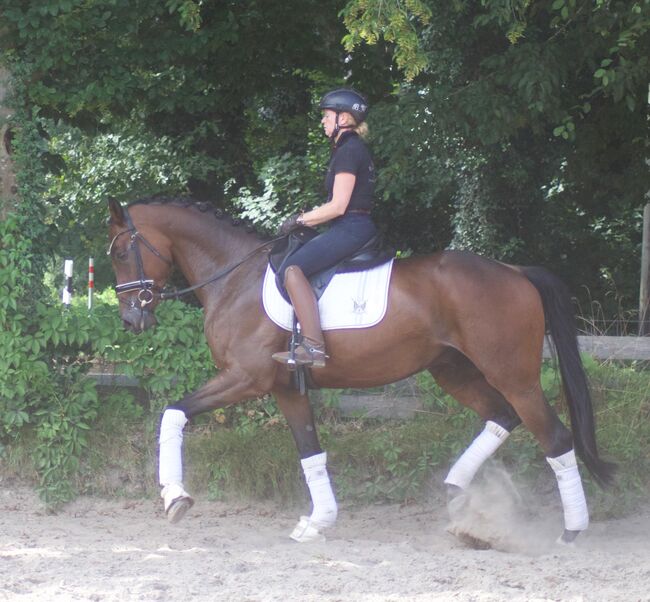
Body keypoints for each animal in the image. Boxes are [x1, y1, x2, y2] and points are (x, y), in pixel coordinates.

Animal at [106, 196, 614, 545]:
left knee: (555, 437)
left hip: (514, 376)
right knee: (501, 416)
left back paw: (571, 531)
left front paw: (175, 497)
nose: (131, 320)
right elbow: (310, 451)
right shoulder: (286, 388)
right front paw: (318, 522)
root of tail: (515, 271)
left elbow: (172, 413)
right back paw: (457, 493)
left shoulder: (245, 379)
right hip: (454, 371)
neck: (235, 279)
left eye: (118, 253)